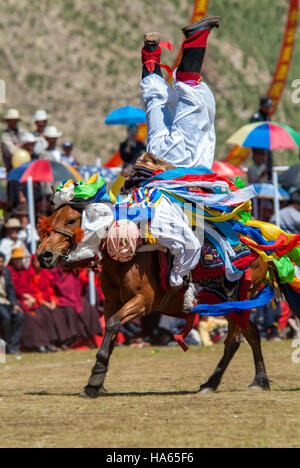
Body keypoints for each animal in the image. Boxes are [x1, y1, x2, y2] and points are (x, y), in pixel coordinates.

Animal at [35, 202, 272, 398]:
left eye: (71, 220)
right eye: (51, 218)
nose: (43, 255)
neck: (125, 256)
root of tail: (258, 245)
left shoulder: (142, 302)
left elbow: (112, 325)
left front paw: (97, 373)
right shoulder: (112, 303)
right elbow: (111, 334)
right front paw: (94, 384)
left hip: (236, 302)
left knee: (243, 336)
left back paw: (253, 381)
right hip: (227, 305)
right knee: (243, 337)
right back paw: (219, 383)